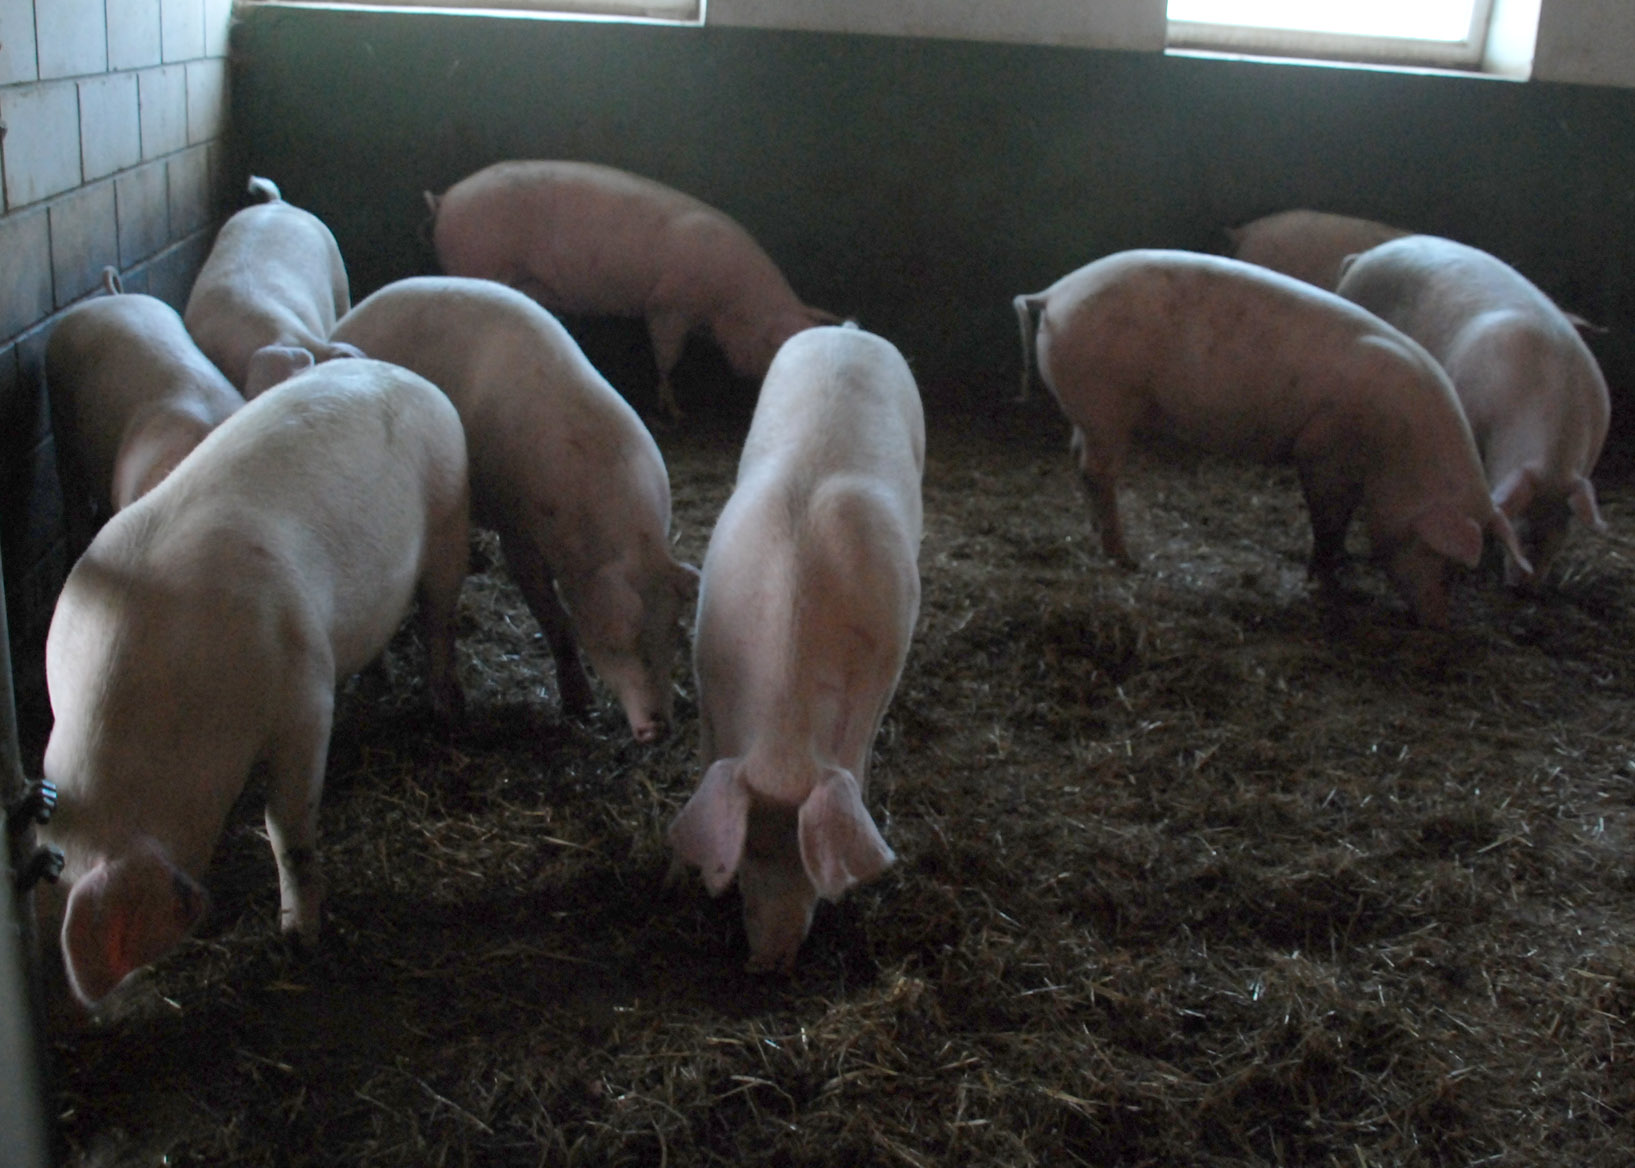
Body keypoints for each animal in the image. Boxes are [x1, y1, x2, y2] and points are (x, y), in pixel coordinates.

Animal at [36, 358, 469, 1006]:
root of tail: (404, 373)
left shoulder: (304, 697)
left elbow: (286, 827)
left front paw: (301, 941)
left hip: (449, 523)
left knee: (440, 620)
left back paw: (446, 713)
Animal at [332, 276, 698, 742]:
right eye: (616, 636)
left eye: (673, 631)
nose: (658, 729)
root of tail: (348, 319)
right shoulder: (517, 529)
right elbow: (553, 618)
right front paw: (580, 706)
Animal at [424, 159, 837, 418]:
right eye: (776, 350)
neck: (729, 307)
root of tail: (446, 198)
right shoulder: (668, 305)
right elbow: (666, 356)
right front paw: (677, 412)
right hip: (478, 263)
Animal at [668, 325, 923, 972]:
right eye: (749, 855)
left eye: (809, 864)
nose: (768, 962)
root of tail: (848, 331)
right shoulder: (705, 676)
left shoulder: (882, 673)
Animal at [1013, 249, 1531, 627]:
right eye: (1447, 564)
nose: (1440, 623)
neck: (1399, 450)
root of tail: (1055, 294)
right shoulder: (1324, 448)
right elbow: (1329, 518)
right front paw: (1327, 583)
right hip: (1107, 402)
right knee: (1096, 472)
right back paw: (1126, 559)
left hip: (1090, 412)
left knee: (1078, 459)